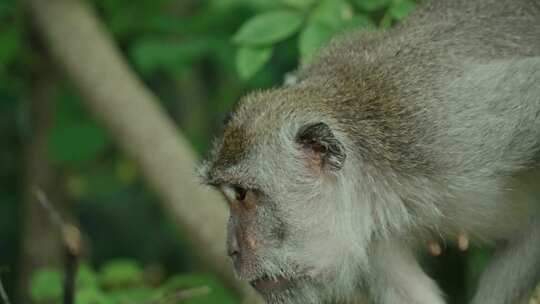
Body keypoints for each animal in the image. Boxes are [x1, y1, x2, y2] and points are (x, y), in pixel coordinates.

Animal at [199, 0, 540, 302]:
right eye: (228, 196)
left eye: (243, 195)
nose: (231, 250)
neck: (377, 173)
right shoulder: (370, 233)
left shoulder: (451, 132)